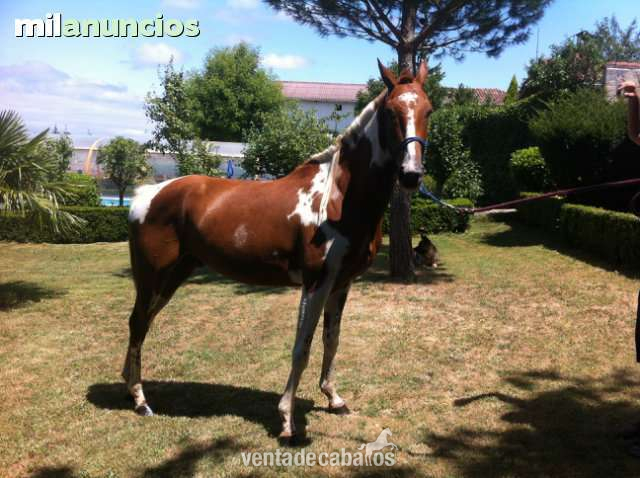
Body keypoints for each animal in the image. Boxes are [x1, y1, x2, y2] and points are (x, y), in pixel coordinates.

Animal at [121, 60, 432, 439]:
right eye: (390, 112)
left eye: (429, 110)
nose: (411, 175)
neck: (336, 198)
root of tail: (146, 195)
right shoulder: (315, 284)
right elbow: (302, 347)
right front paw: (287, 419)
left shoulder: (342, 284)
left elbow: (332, 339)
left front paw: (334, 398)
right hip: (152, 277)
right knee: (138, 323)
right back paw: (140, 400)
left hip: (173, 276)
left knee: (144, 323)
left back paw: (130, 388)